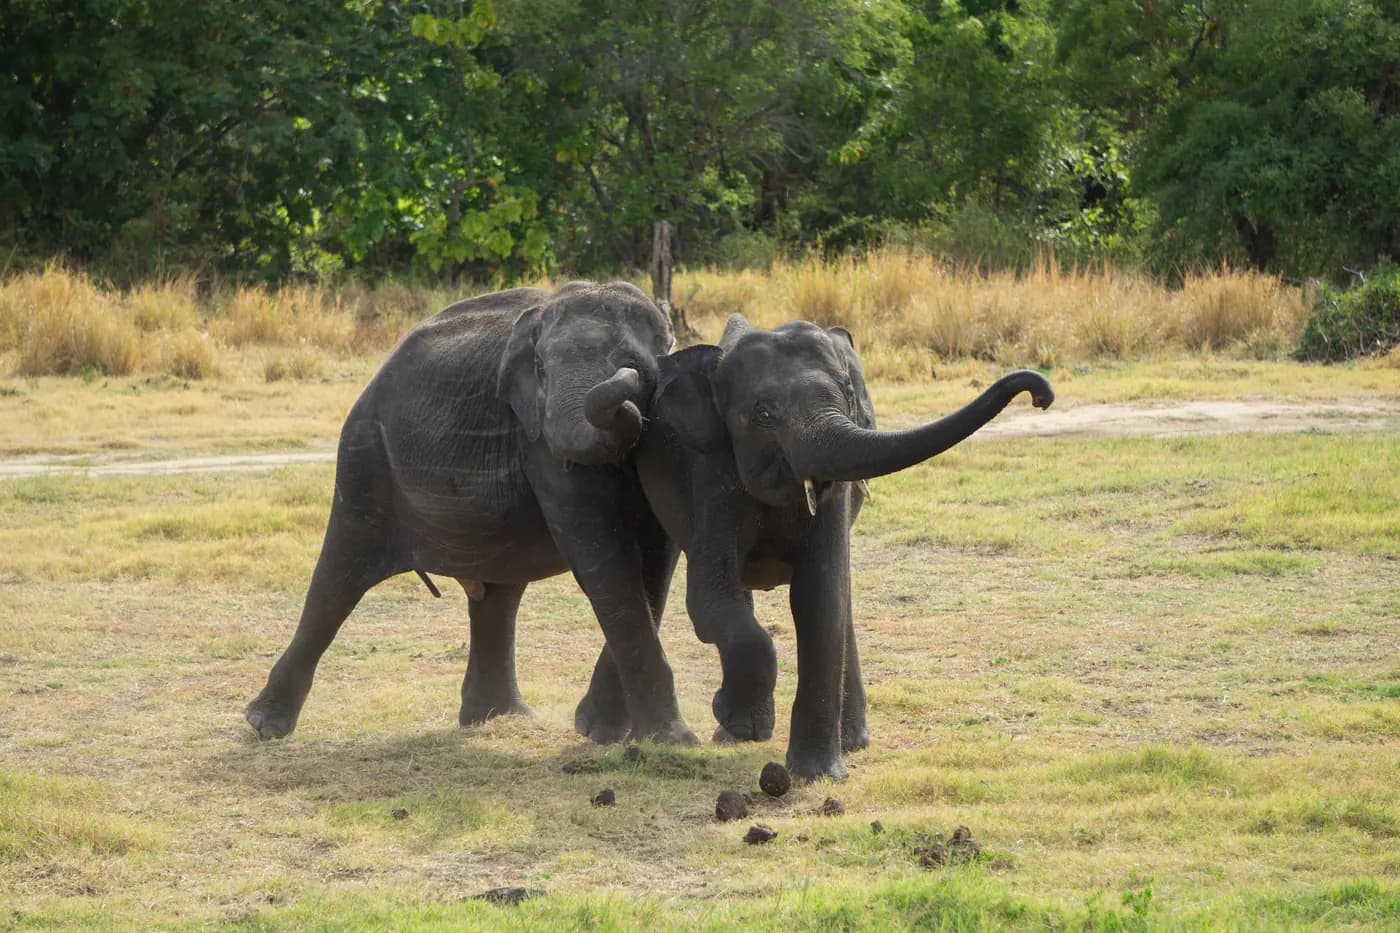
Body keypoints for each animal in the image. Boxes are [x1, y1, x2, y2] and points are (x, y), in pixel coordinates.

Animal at [245, 281, 700, 747]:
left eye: (635, 366)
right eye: (540, 368)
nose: (626, 382)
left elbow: (652, 562)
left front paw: (607, 734)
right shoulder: (537, 438)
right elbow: (604, 557)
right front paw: (662, 740)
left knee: (498, 594)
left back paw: (498, 718)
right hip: (365, 459)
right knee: (337, 577)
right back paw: (264, 725)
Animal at [577, 314, 1054, 781]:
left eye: (849, 395)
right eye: (763, 412)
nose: (1041, 395)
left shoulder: (833, 495)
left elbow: (820, 596)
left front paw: (817, 775)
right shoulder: (712, 471)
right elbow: (711, 599)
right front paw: (745, 725)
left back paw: (849, 741)